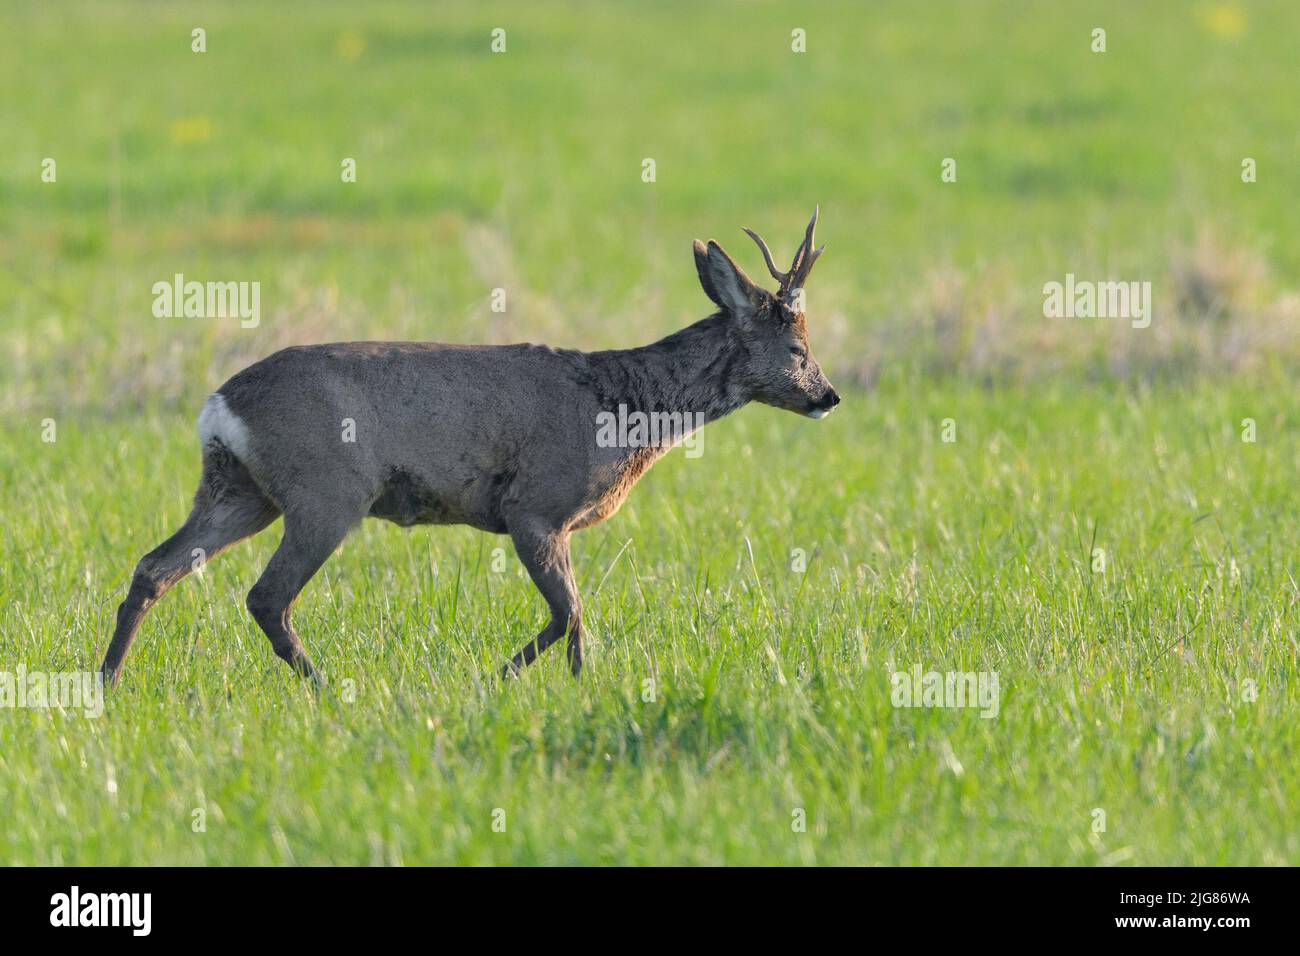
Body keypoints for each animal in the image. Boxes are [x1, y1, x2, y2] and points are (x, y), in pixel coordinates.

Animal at [98, 209, 832, 686]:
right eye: (799, 348)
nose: (827, 395)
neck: (623, 409)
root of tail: (218, 406)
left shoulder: (550, 521)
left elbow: (575, 618)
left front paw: (572, 687)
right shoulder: (535, 506)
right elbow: (569, 612)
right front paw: (507, 679)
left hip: (239, 490)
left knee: (155, 567)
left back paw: (107, 681)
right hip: (324, 492)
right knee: (264, 596)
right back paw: (325, 687)